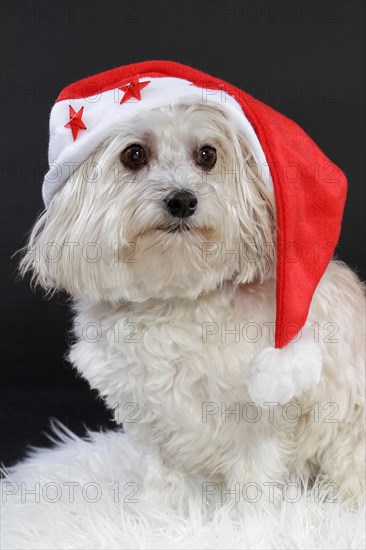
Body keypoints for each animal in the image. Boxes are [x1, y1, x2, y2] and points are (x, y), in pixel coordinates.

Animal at [20, 63, 366, 508]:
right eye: (134, 154)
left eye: (207, 154)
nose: (182, 200)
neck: (174, 298)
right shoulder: (153, 416)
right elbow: (163, 479)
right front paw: (160, 515)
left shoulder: (260, 418)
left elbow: (253, 482)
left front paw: (249, 520)